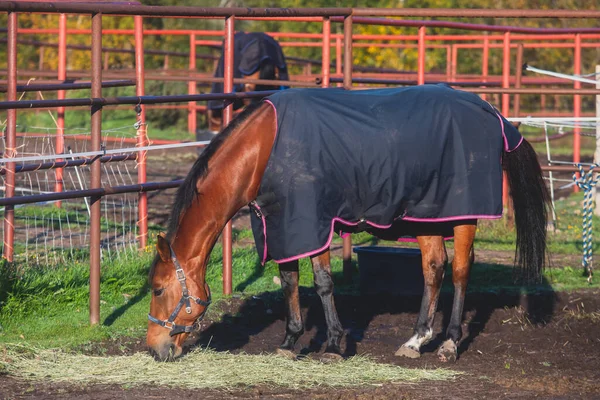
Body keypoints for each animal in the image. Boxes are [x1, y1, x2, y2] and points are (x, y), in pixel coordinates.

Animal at [148, 84, 552, 362]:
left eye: (156, 289)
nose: (155, 348)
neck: (264, 149)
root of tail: (492, 113)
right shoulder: (283, 226)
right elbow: (289, 281)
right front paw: (290, 342)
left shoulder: (313, 222)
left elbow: (323, 283)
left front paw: (332, 344)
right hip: (428, 213)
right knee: (434, 267)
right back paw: (415, 341)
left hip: (463, 216)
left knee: (461, 272)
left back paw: (449, 344)